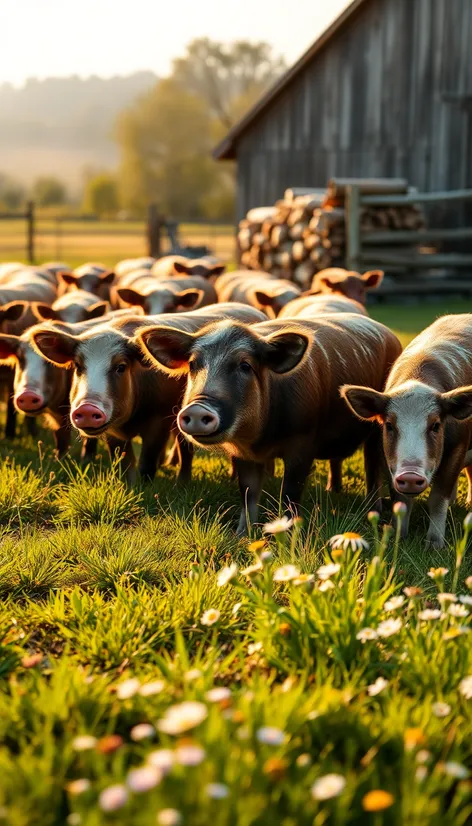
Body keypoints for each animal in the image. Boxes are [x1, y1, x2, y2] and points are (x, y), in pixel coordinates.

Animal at [29, 302, 266, 482]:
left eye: (121, 367)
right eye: (78, 366)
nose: (87, 408)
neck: (131, 420)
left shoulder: (160, 419)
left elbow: (147, 461)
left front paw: (145, 484)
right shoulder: (113, 432)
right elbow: (123, 462)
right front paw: (128, 484)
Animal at [140, 312, 402, 532]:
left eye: (245, 365)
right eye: (194, 364)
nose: (197, 408)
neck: (261, 439)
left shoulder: (303, 442)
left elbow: (290, 492)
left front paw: (288, 532)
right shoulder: (242, 453)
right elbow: (248, 492)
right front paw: (242, 534)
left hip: (376, 430)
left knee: (372, 467)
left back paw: (372, 511)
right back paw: (332, 490)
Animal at [342, 314, 472, 548]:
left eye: (436, 425)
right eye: (389, 425)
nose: (411, 475)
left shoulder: (459, 445)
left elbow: (437, 497)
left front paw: (434, 546)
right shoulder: (387, 457)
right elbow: (401, 500)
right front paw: (397, 537)